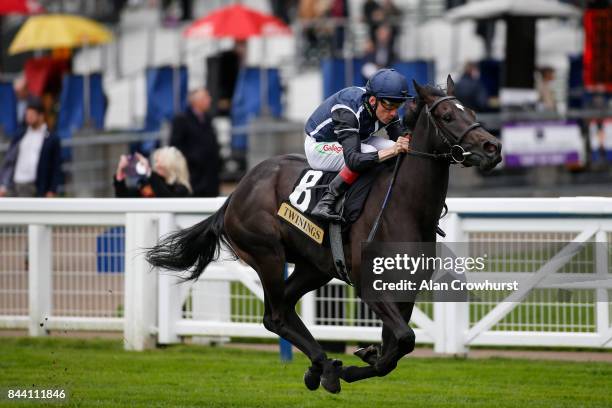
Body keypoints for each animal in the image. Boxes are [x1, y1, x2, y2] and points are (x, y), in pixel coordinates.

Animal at [147, 75, 502, 392]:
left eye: (472, 111)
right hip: (267, 255)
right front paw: (352, 366)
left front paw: (366, 355)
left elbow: (394, 349)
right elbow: (403, 340)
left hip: (314, 267)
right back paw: (327, 366)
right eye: (447, 116)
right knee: (276, 316)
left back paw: (320, 368)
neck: (404, 205)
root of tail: (235, 193)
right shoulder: (369, 287)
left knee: (283, 310)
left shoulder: (405, 290)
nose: (493, 147)